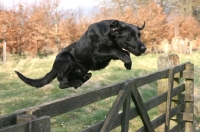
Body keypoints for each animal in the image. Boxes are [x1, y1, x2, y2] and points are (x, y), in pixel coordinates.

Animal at [15, 19, 146, 88]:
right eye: (130, 36)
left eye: (139, 35)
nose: (144, 48)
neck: (108, 35)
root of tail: (53, 68)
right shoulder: (97, 53)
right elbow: (115, 51)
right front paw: (127, 61)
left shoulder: (111, 53)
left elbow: (124, 52)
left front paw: (128, 64)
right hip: (66, 57)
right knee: (61, 83)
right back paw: (77, 82)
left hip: (80, 70)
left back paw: (82, 79)